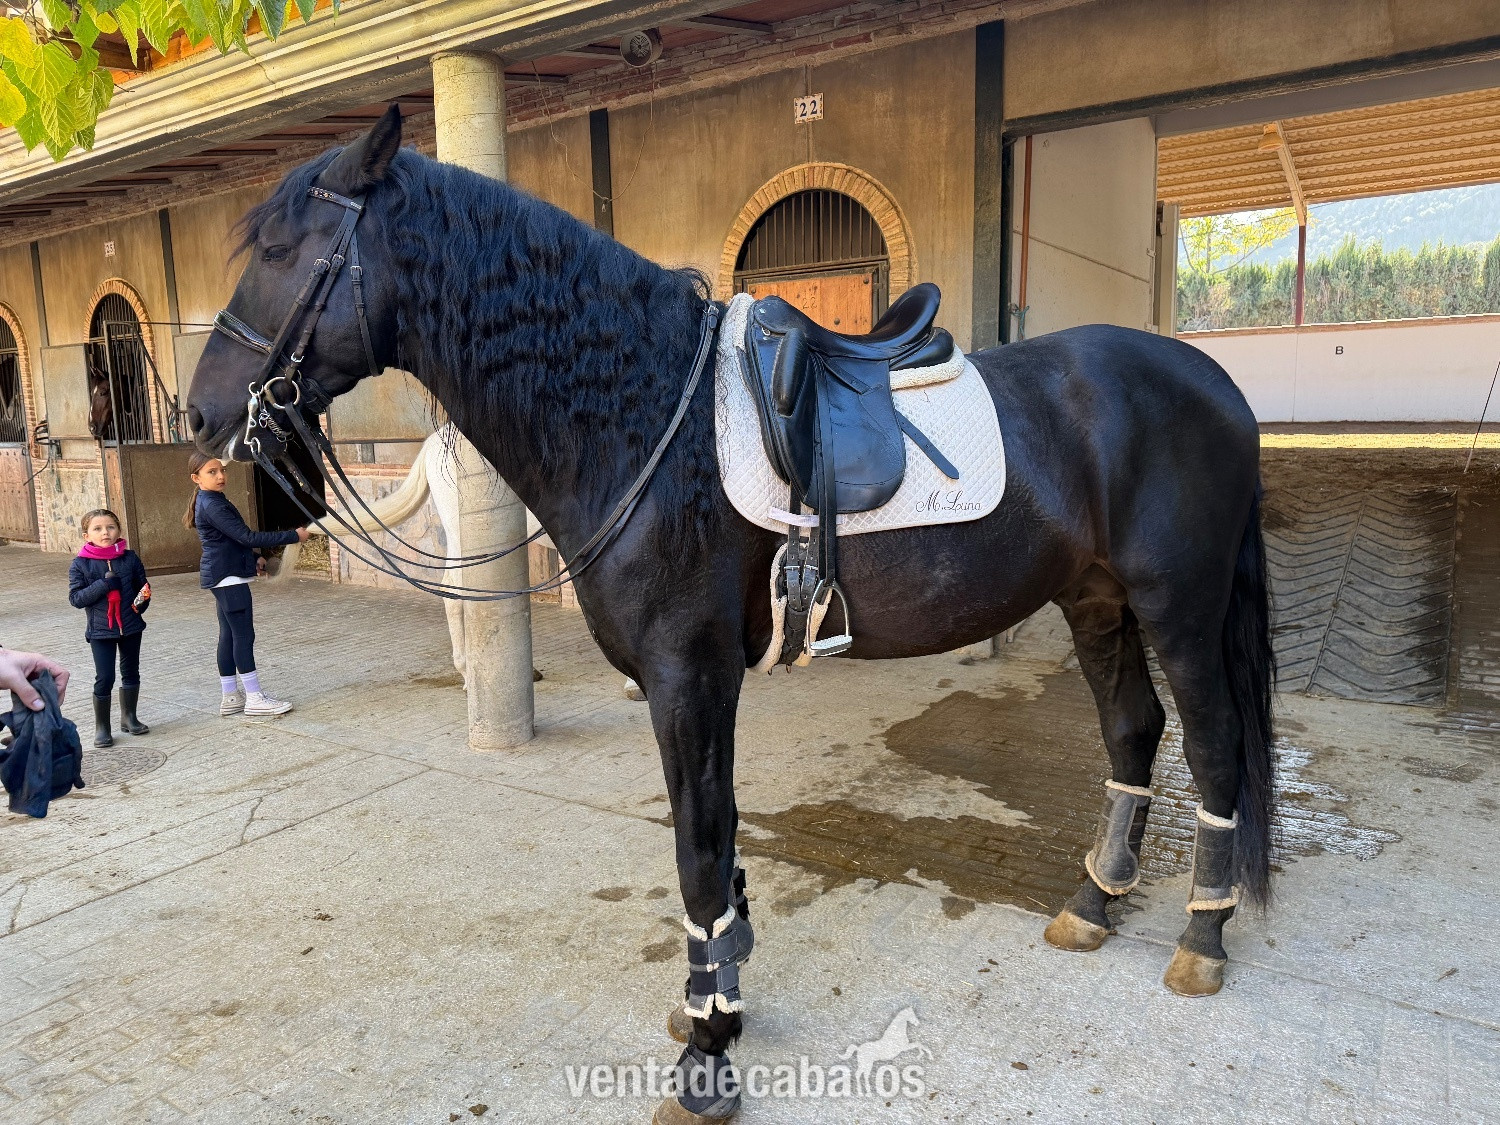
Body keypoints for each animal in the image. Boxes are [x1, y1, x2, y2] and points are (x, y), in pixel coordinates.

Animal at [186, 107, 1275, 1124]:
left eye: (283, 251)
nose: (202, 416)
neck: (640, 417)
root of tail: (1214, 382)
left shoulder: (689, 673)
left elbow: (699, 854)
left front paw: (709, 1054)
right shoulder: (693, 683)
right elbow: (716, 838)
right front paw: (716, 1004)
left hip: (1178, 605)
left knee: (1213, 744)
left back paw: (1202, 933)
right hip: (1094, 600)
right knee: (1133, 731)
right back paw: (1094, 903)